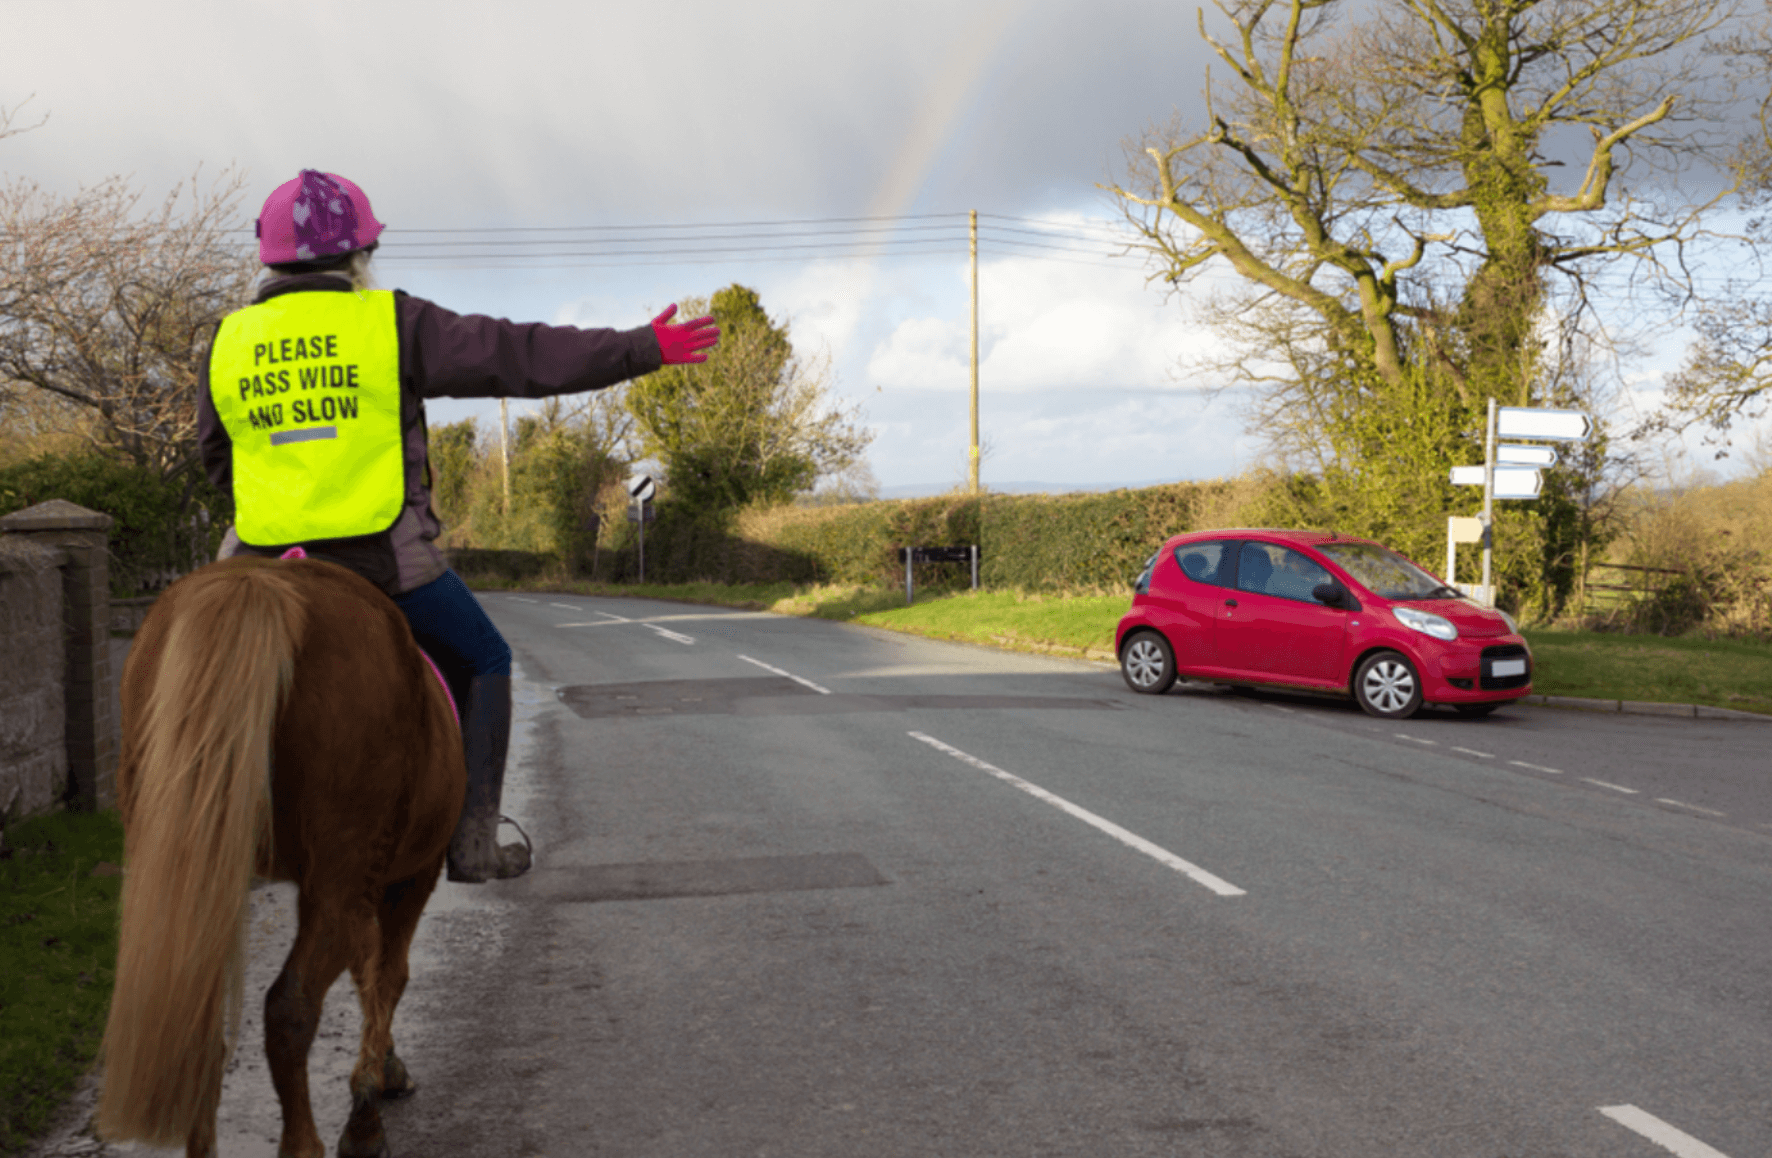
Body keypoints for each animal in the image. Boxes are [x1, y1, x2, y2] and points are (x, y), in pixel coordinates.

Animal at [95, 556, 464, 1156]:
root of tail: (260, 582)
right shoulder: (411, 877)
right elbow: (387, 975)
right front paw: (373, 1097)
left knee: (198, 1021)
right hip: (344, 881)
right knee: (291, 1006)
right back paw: (316, 1138)